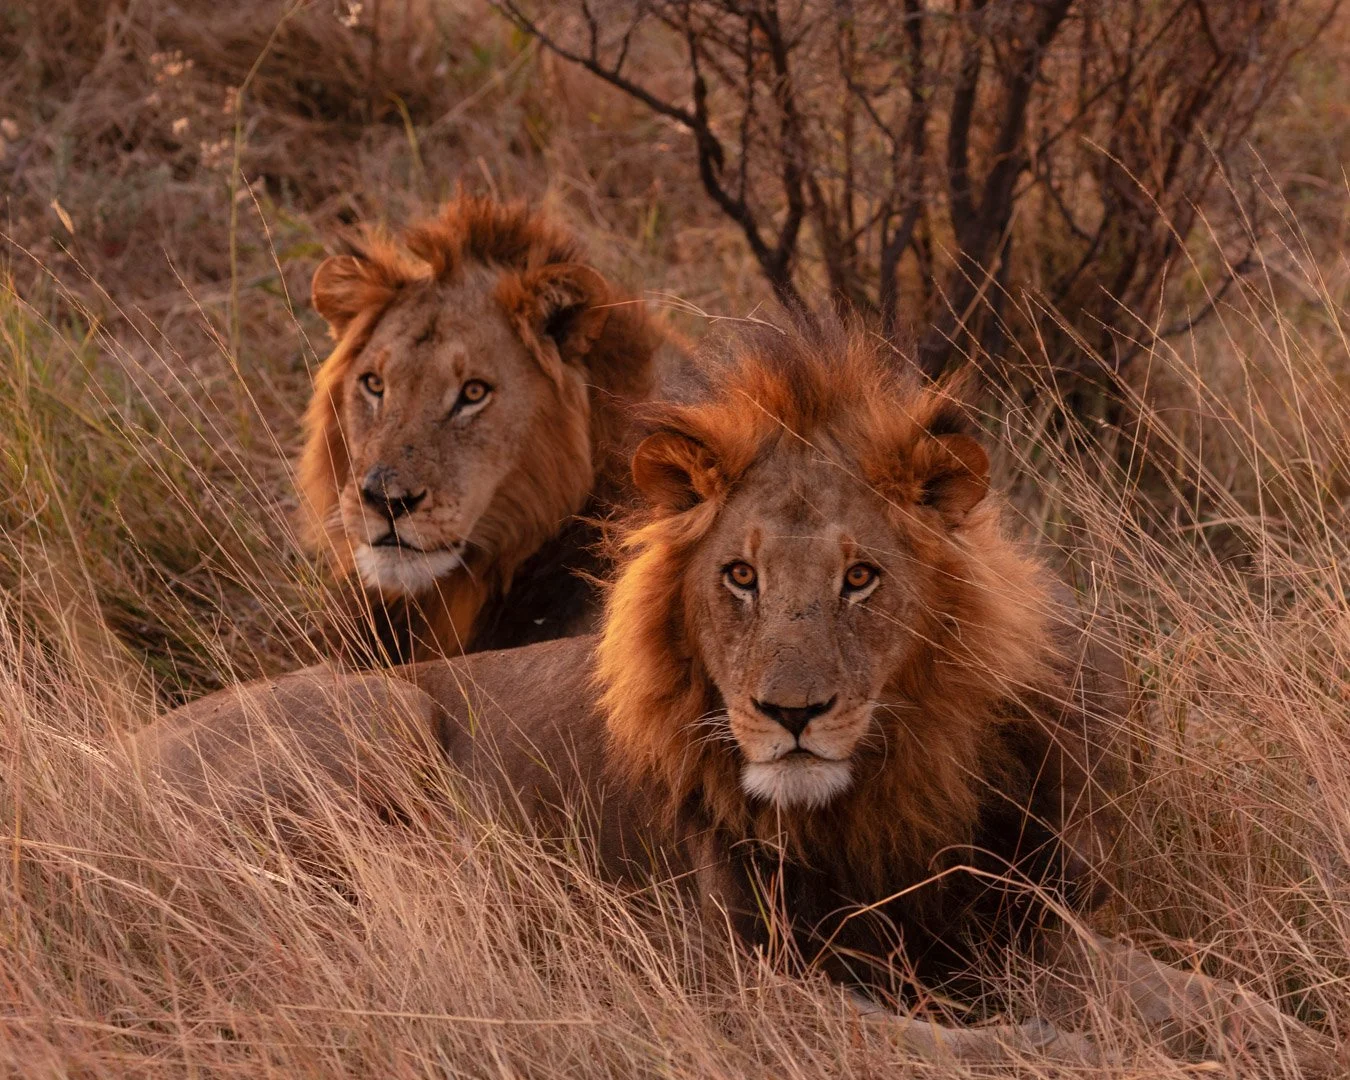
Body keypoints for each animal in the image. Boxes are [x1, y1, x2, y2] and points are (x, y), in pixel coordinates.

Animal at [134, 325, 1328, 1066]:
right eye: (740, 577)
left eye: (861, 578)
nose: (791, 716)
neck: (875, 798)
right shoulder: (733, 985)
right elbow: (930, 1043)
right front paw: (1078, 1053)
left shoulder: (1006, 923)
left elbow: (1212, 996)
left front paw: (1294, 1037)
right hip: (377, 722)